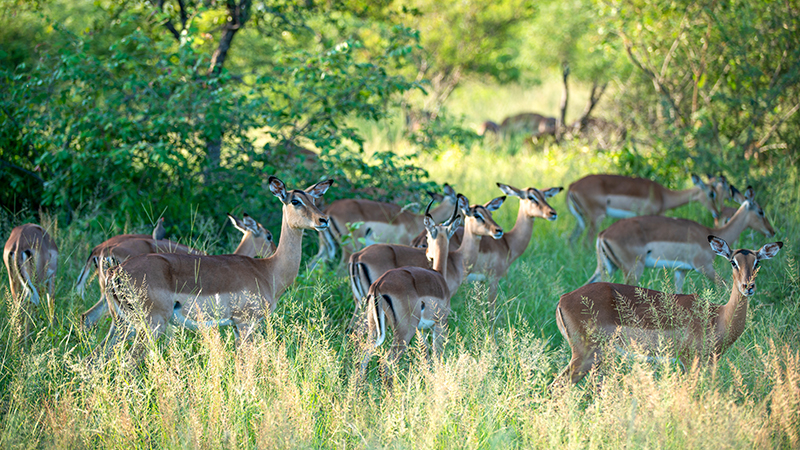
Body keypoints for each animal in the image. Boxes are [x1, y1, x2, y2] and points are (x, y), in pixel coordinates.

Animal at [349, 194, 505, 329]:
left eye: (490, 214)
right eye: (477, 215)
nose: (498, 230)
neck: (457, 260)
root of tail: (357, 256)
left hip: (361, 303)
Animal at [360, 205, 461, 381]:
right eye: (427, 236)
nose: (428, 254)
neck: (439, 276)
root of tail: (379, 284)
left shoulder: (421, 330)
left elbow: (426, 355)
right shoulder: (440, 324)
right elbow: (437, 355)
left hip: (373, 330)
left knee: (363, 359)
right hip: (404, 332)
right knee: (386, 363)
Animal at [556, 236, 783, 385]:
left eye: (757, 261)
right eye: (733, 261)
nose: (748, 286)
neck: (717, 317)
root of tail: (563, 299)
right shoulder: (690, 361)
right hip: (586, 356)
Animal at [566, 174, 721, 246]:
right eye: (711, 193)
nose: (717, 213)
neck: (662, 195)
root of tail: (572, 186)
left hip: (581, 220)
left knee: (571, 239)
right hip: (596, 218)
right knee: (585, 242)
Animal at [586, 186, 775, 292]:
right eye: (761, 211)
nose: (771, 231)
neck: (710, 233)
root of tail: (603, 234)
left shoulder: (680, 270)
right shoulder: (704, 266)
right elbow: (727, 284)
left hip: (607, 267)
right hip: (633, 269)